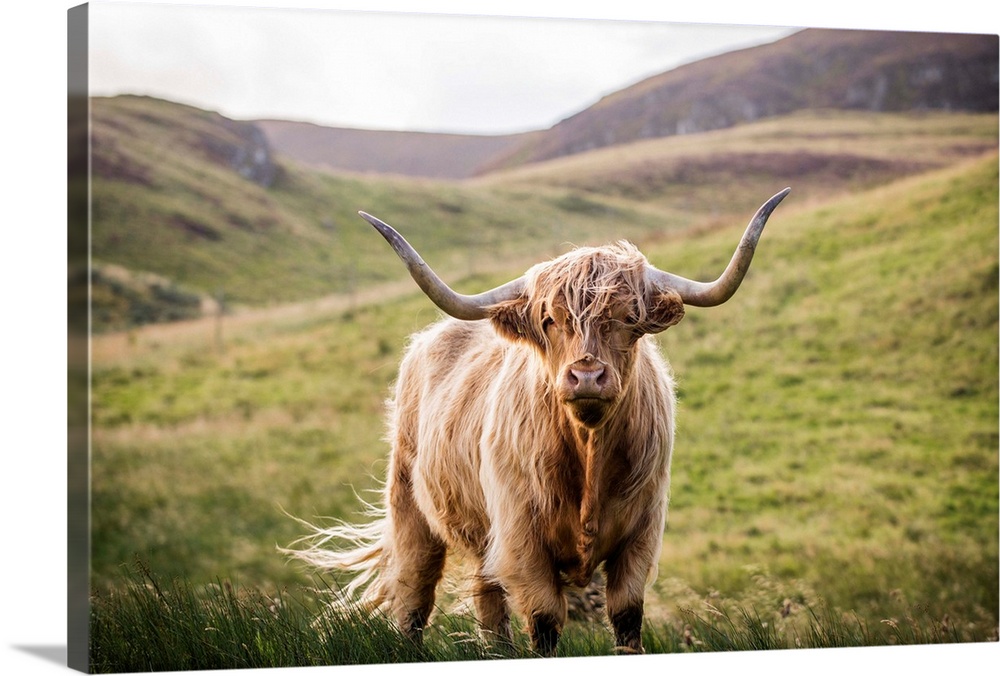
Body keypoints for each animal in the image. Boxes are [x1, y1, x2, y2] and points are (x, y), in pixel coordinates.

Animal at [288, 187, 788, 652]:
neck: (587, 453)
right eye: (549, 320)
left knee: (488, 605)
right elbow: (545, 623)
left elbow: (627, 619)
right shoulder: (521, 543)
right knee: (414, 597)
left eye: (629, 317)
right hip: (412, 510)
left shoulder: (641, 538)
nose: (587, 375)